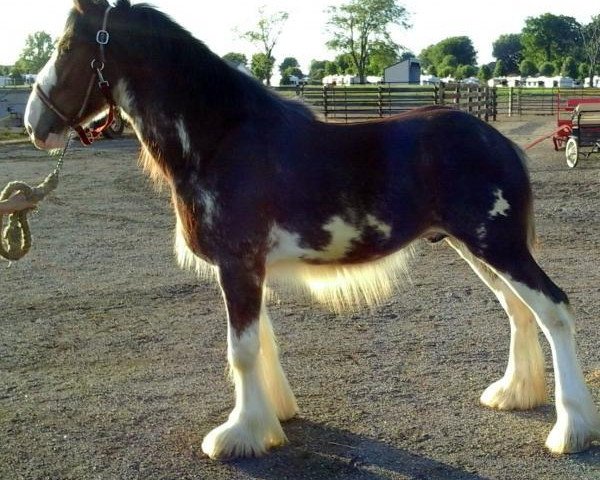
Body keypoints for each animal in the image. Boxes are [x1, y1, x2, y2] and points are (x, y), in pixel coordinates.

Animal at [23, 0, 600, 460]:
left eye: (68, 45)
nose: (34, 124)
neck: (221, 139)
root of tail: (498, 141)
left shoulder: (237, 264)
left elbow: (241, 350)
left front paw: (237, 437)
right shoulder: (248, 268)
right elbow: (260, 343)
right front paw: (271, 418)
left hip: (497, 245)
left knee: (554, 310)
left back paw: (570, 431)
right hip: (476, 248)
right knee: (519, 312)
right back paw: (513, 393)